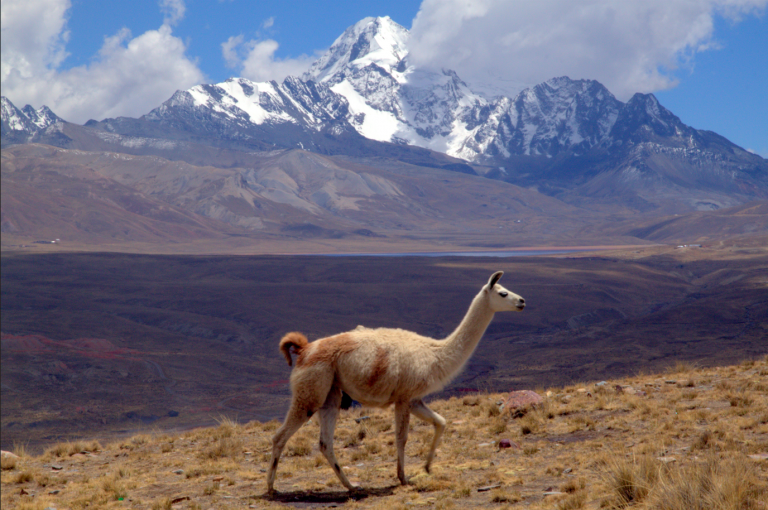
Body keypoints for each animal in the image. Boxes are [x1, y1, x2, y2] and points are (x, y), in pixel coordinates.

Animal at [267, 271, 525, 493]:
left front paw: (427, 466)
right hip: (310, 392)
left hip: (331, 394)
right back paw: (270, 488)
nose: (522, 301)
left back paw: (351, 486)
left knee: (325, 443)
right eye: (502, 293)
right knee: (280, 437)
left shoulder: (414, 398)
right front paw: (403, 477)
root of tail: (304, 349)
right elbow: (402, 437)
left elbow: (441, 422)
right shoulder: (403, 396)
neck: (435, 353)